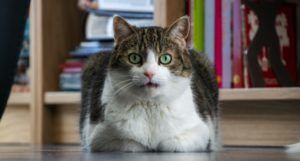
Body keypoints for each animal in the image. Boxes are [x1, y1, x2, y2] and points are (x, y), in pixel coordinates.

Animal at [79, 15, 219, 152]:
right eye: (134, 58)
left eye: (166, 58)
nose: (149, 73)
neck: (150, 105)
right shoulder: (98, 137)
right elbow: (132, 144)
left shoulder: (202, 132)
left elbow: (171, 144)